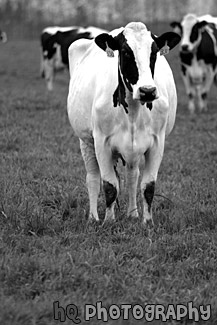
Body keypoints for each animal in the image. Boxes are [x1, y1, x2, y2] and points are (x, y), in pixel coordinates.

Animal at [67, 21, 180, 224]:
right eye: (126, 52)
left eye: (154, 52)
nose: (147, 91)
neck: (133, 112)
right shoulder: (101, 142)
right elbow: (109, 185)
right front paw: (108, 222)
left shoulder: (157, 142)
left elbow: (148, 185)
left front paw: (147, 222)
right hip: (85, 141)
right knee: (93, 178)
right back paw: (93, 218)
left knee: (132, 176)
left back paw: (132, 213)